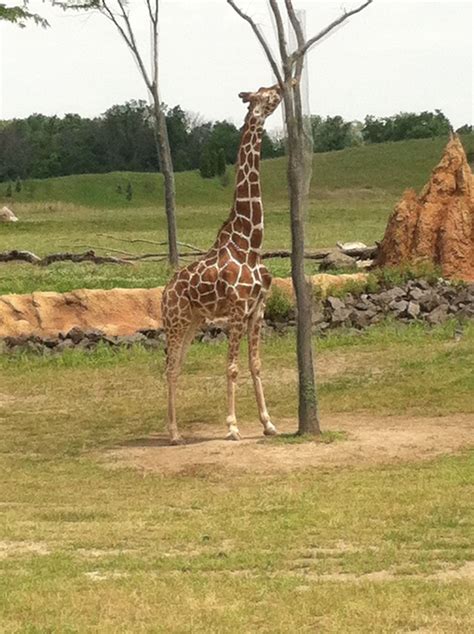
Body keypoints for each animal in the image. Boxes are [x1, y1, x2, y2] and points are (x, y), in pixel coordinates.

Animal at [161, 82, 284, 444]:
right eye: (265, 93)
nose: (283, 86)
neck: (251, 244)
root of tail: (164, 292)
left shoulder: (257, 308)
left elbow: (256, 365)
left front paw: (268, 423)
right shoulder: (236, 309)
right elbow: (231, 367)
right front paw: (232, 426)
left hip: (191, 322)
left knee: (177, 366)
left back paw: (175, 430)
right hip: (174, 322)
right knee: (170, 368)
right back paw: (174, 433)